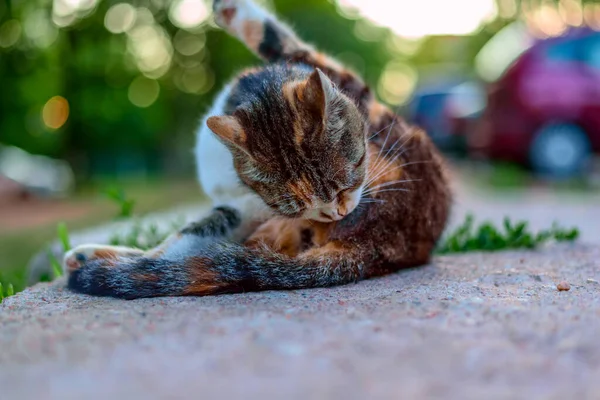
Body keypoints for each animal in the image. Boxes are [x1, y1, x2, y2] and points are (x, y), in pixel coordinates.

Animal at [64, 0, 450, 298]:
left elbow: (273, 35)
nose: (335, 213)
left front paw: (231, 9)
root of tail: (381, 246)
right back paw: (90, 257)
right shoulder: (241, 210)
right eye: (295, 205)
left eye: (348, 181)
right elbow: (184, 239)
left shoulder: (330, 73)